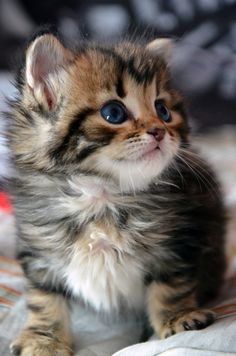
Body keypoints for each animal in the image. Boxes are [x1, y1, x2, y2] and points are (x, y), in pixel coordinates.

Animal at [4, 32, 226, 354]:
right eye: (113, 113)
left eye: (163, 110)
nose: (160, 131)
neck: (101, 195)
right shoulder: (40, 248)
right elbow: (44, 299)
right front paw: (44, 339)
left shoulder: (175, 244)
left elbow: (171, 287)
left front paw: (178, 317)